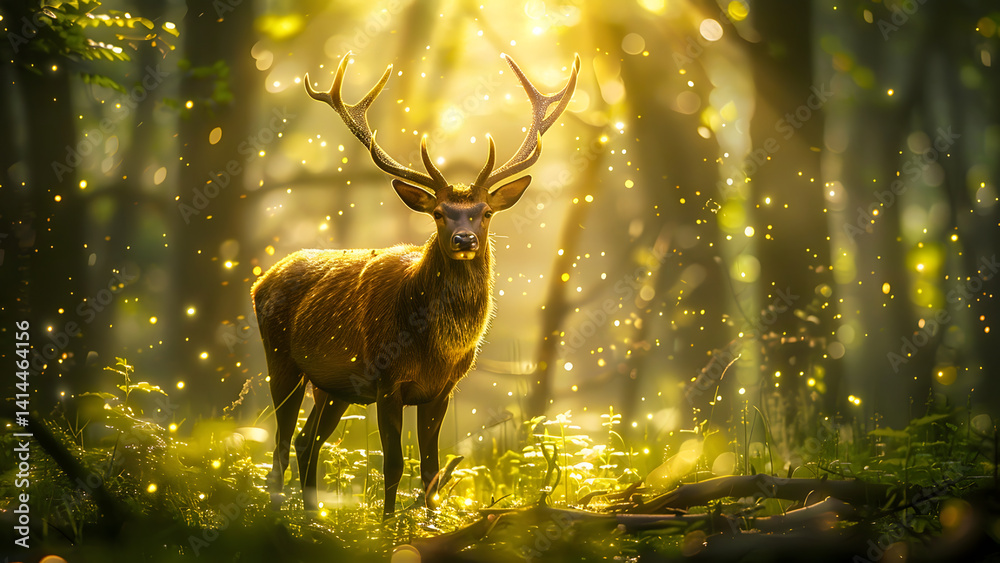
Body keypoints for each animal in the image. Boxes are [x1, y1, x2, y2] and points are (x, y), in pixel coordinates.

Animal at [251, 51, 579, 517]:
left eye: (485, 212)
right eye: (439, 213)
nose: (465, 239)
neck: (436, 350)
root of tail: (260, 282)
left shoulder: (442, 391)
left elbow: (431, 468)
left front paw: (429, 523)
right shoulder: (387, 382)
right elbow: (393, 464)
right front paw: (386, 526)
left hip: (333, 386)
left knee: (305, 438)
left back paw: (314, 514)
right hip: (281, 359)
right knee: (281, 440)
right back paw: (278, 511)